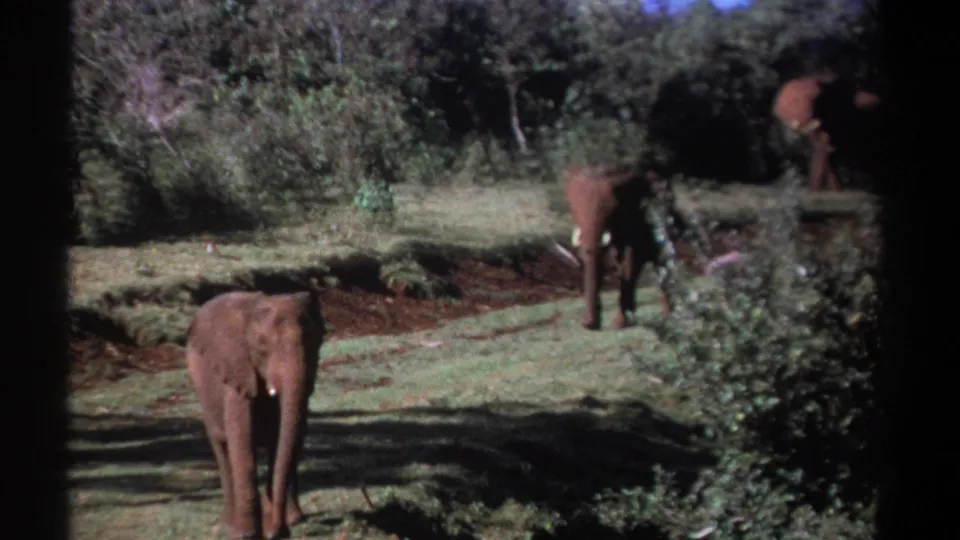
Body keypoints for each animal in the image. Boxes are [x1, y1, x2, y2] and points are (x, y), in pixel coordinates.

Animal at [185, 290, 325, 539]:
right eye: (261, 346)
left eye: (315, 341)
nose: (277, 533)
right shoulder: (237, 372)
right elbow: (242, 443)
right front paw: (246, 534)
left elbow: (286, 440)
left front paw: (288, 523)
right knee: (222, 448)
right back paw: (229, 522)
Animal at [551, 163, 706, 330]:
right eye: (574, 208)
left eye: (614, 210)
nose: (587, 325)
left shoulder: (640, 215)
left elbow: (630, 263)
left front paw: (619, 324)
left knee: (662, 263)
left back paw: (669, 316)